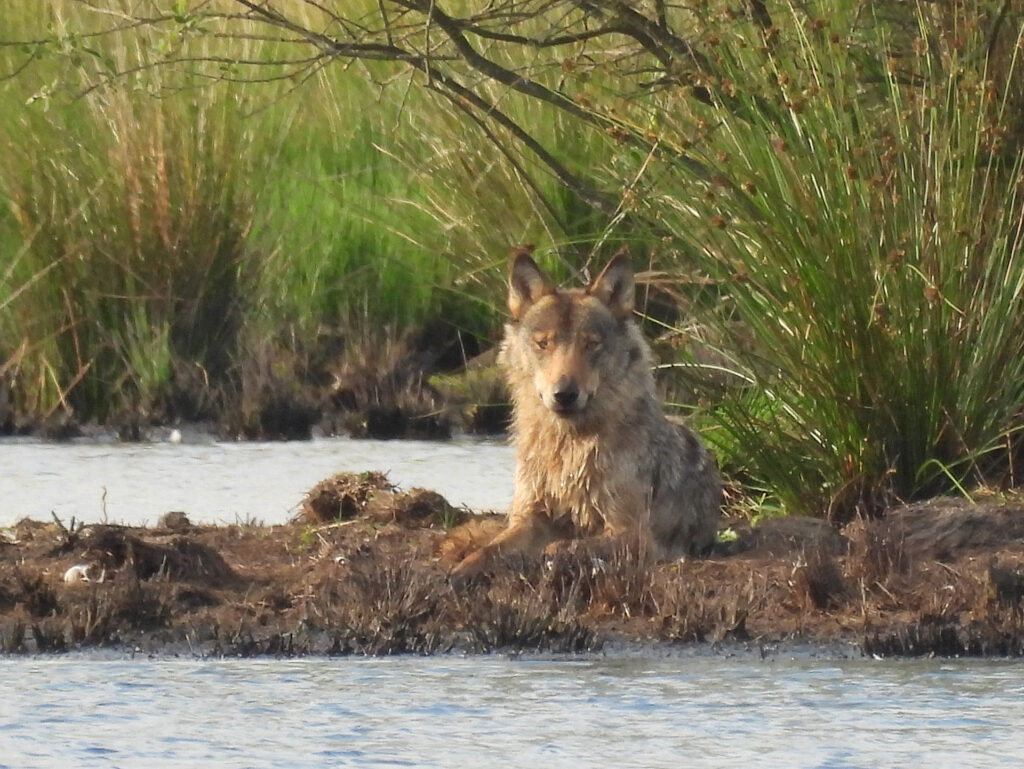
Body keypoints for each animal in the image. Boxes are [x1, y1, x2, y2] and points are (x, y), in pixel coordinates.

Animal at [450, 246, 722, 580]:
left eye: (591, 344)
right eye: (543, 343)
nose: (565, 394)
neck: (568, 449)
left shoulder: (633, 532)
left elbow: (568, 547)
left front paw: (555, 554)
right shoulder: (529, 516)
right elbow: (491, 548)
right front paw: (463, 569)